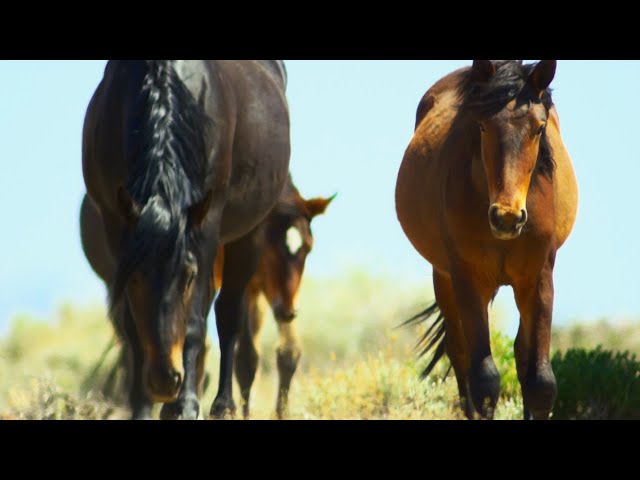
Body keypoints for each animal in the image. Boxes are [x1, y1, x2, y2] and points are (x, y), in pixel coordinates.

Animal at [81, 60, 291, 420]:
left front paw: (189, 404)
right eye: (134, 279)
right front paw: (143, 406)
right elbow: (132, 326)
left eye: (187, 276)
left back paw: (220, 404)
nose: (165, 380)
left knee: (227, 312)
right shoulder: (116, 225)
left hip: (248, 232)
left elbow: (195, 321)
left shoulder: (206, 222)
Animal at [395, 60, 578, 420]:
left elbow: (540, 382)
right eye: (481, 125)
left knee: (522, 354)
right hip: (444, 277)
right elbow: (484, 381)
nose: (507, 216)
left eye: (539, 127)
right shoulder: (469, 278)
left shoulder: (538, 279)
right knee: (460, 354)